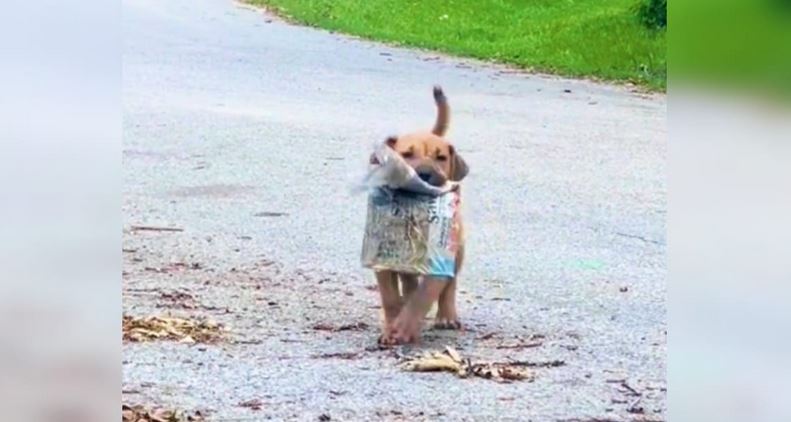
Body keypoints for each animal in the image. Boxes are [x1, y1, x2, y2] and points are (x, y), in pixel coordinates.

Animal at [378, 85, 470, 342]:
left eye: (441, 158)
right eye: (406, 154)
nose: (424, 174)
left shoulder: (438, 263)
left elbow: (422, 298)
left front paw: (404, 328)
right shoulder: (382, 262)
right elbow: (390, 298)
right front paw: (391, 328)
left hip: (458, 249)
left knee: (450, 284)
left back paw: (446, 316)